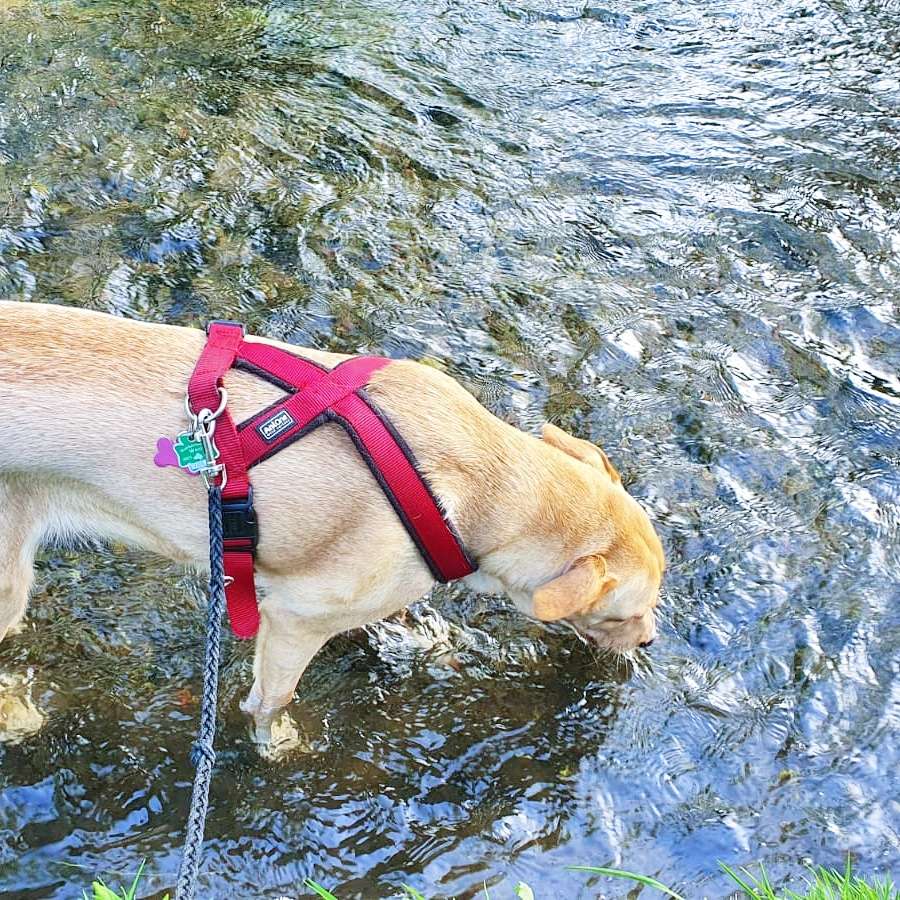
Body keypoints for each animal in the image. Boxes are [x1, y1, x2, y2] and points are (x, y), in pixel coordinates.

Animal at [0, 302, 660, 740]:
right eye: (625, 613)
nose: (652, 640)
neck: (487, 480)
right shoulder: (295, 620)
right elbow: (272, 700)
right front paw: (278, 743)